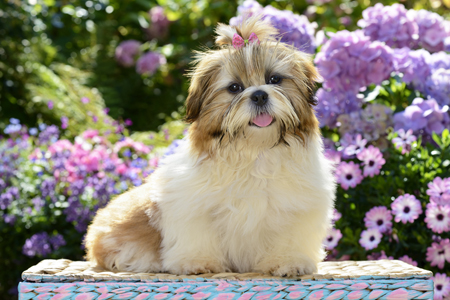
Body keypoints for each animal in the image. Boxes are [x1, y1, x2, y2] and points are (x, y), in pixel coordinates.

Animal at [86, 17, 336, 276]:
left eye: (274, 79)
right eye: (234, 88)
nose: (259, 95)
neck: (255, 149)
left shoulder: (297, 208)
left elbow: (289, 237)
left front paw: (288, 261)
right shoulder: (192, 206)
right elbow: (198, 234)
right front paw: (198, 262)